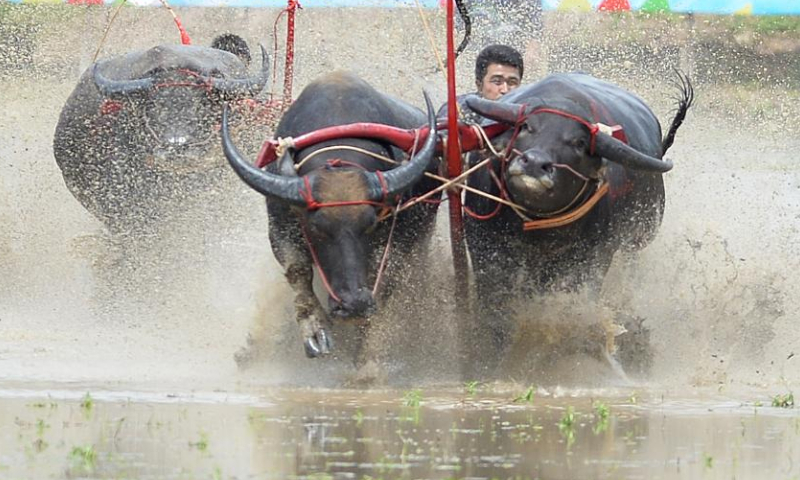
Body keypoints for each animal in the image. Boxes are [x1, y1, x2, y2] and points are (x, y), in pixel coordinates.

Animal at [222, 71, 439, 364]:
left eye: (371, 225)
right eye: (316, 229)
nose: (353, 304)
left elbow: (385, 279)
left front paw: (366, 354)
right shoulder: (279, 226)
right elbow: (298, 271)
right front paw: (315, 331)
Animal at [462, 71, 693, 374]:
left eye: (579, 143)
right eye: (526, 126)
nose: (534, 163)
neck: (537, 227)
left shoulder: (592, 257)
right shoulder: (485, 248)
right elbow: (496, 307)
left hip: (640, 235)